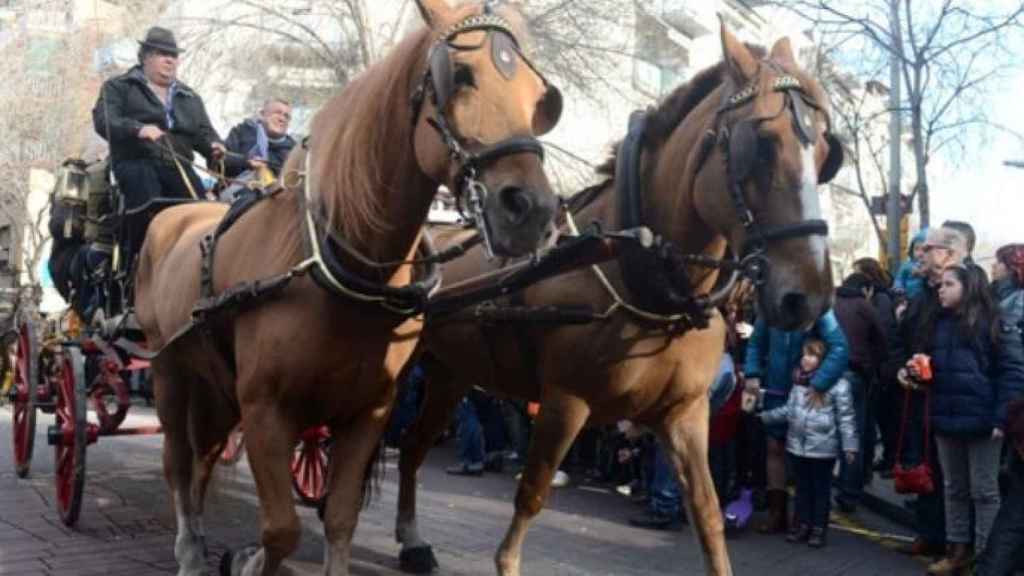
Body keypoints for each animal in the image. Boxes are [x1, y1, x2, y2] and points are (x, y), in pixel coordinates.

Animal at [133, 2, 565, 569]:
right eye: (459, 75)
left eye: (540, 99)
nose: (532, 210)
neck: (340, 273)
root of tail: (176, 212)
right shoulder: (265, 409)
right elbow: (281, 530)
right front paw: (248, 560)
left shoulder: (368, 413)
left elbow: (339, 519)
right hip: (168, 369)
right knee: (178, 462)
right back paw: (187, 549)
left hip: (213, 381)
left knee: (203, 456)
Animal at [391, 24, 839, 569]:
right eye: (762, 144)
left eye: (825, 155)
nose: (808, 297)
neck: (639, 273)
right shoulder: (566, 402)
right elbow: (532, 495)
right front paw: (506, 561)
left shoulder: (686, 413)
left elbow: (708, 515)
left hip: (450, 373)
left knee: (411, 446)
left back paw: (412, 540)